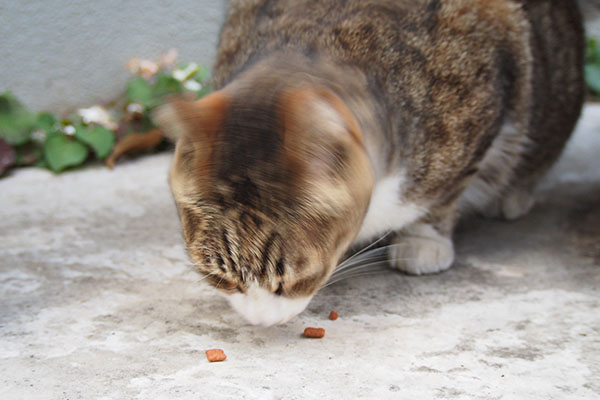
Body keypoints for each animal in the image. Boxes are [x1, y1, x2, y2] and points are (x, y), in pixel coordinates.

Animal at [152, 0, 584, 324]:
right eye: (219, 275)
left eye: (290, 277)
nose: (260, 322)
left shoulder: (481, 92)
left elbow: (445, 193)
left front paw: (424, 239)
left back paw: (513, 194)